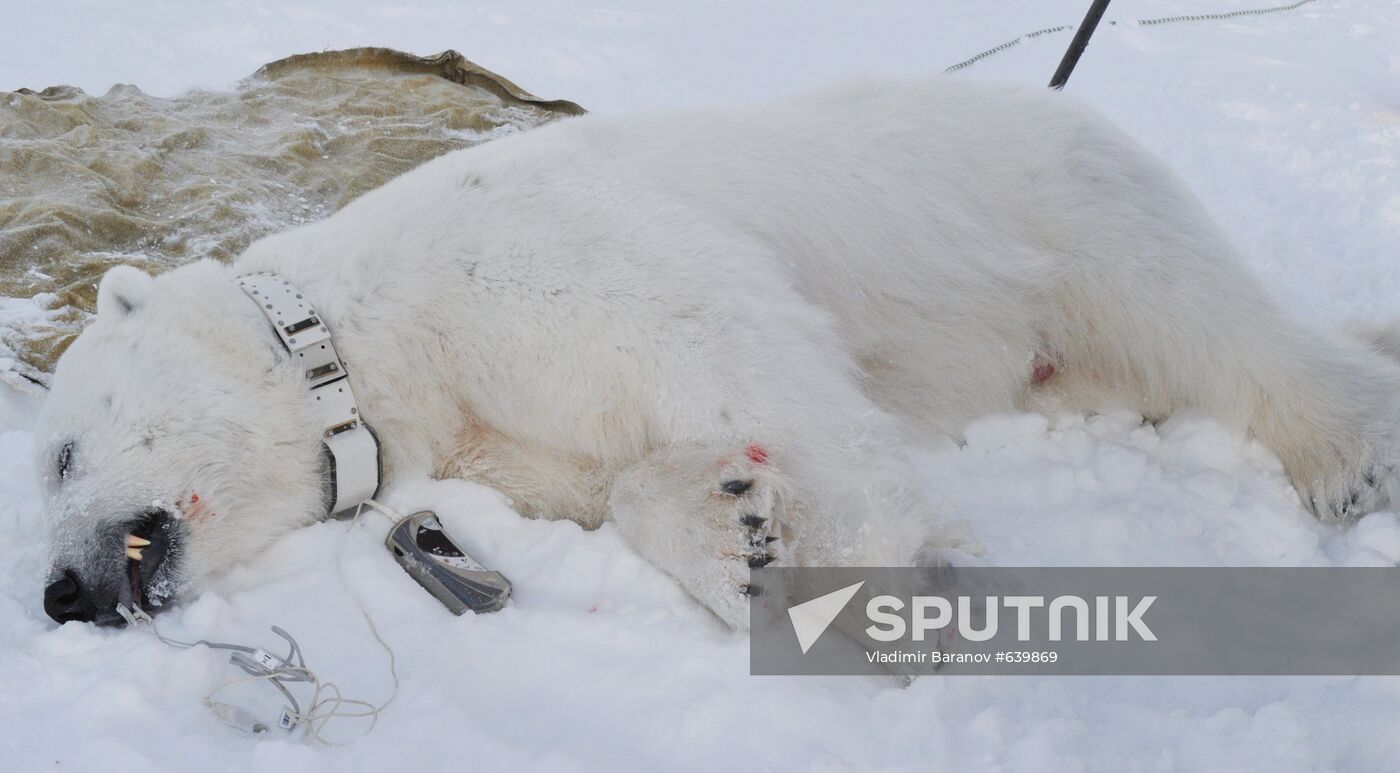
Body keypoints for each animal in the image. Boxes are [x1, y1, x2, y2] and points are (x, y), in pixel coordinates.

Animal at [30, 77, 1400, 627]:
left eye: (54, 454)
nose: (59, 592)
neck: (370, 331)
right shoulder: (496, 427)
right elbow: (616, 471)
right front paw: (736, 526)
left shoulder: (545, 253)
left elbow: (742, 359)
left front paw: (877, 591)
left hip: (1054, 209)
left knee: (1201, 315)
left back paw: (1343, 452)